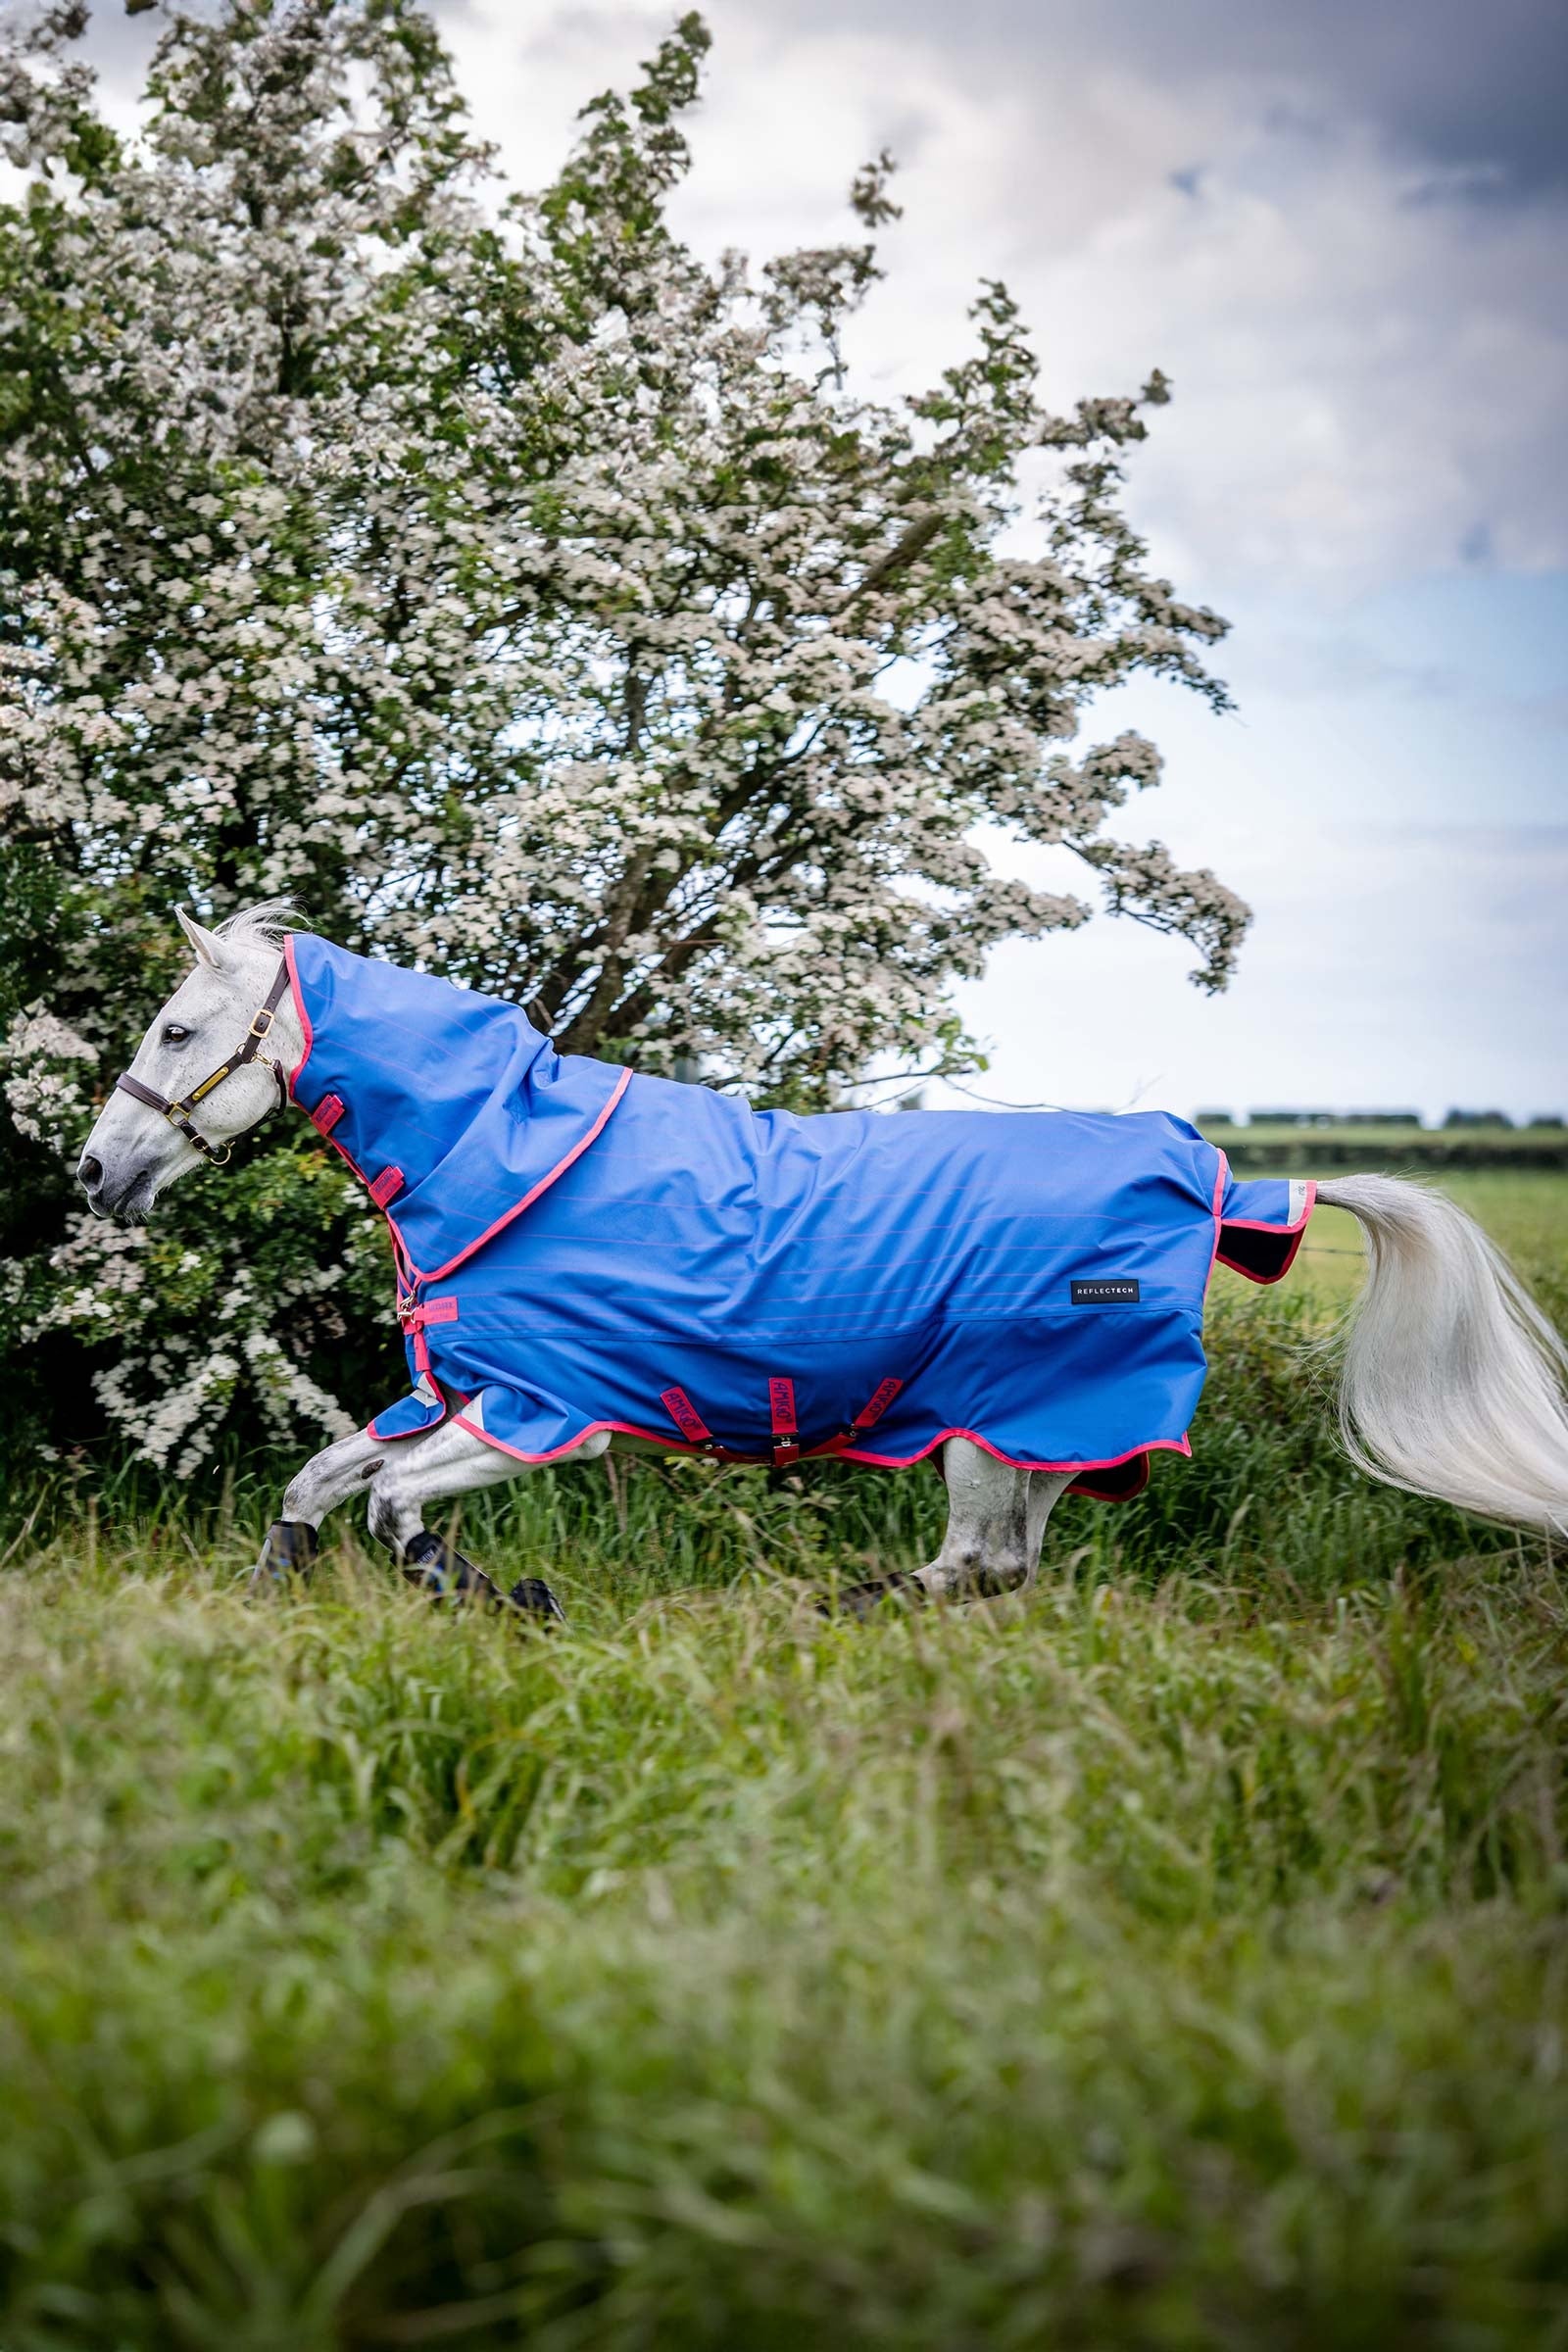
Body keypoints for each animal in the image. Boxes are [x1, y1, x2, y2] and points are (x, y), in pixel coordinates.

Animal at [76, 905, 1568, 1621]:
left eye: (172, 1031)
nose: (95, 1173)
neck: (502, 1157)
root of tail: (1212, 1179)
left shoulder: (544, 1414)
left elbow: (394, 1512)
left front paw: (511, 1601)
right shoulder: (454, 1398)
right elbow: (319, 1482)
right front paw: (273, 1596)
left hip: (1004, 1415)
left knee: (977, 1563)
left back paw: (829, 1611)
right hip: (1035, 1431)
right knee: (1005, 1567)